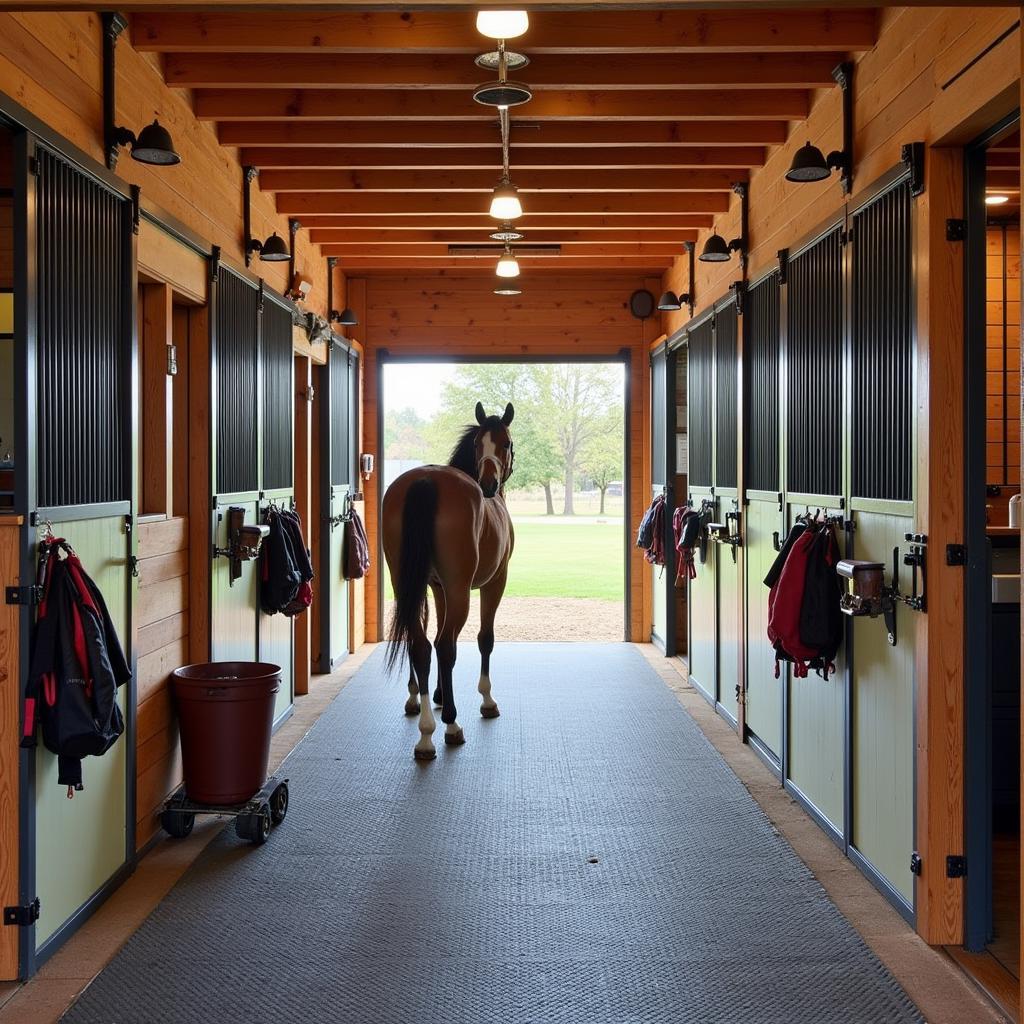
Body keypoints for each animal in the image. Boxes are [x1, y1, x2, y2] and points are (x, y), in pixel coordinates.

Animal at [382, 399, 516, 761]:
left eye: (504, 444)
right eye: (481, 444)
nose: (489, 484)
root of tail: (426, 480)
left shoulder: (437, 588)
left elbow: (437, 632)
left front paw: (441, 695)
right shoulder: (494, 582)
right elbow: (485, 639)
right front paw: (486, 700)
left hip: (406, 586)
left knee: (420, 645)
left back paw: (426, 732)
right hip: (461, 591)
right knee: (444, 646)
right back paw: (450, 727)